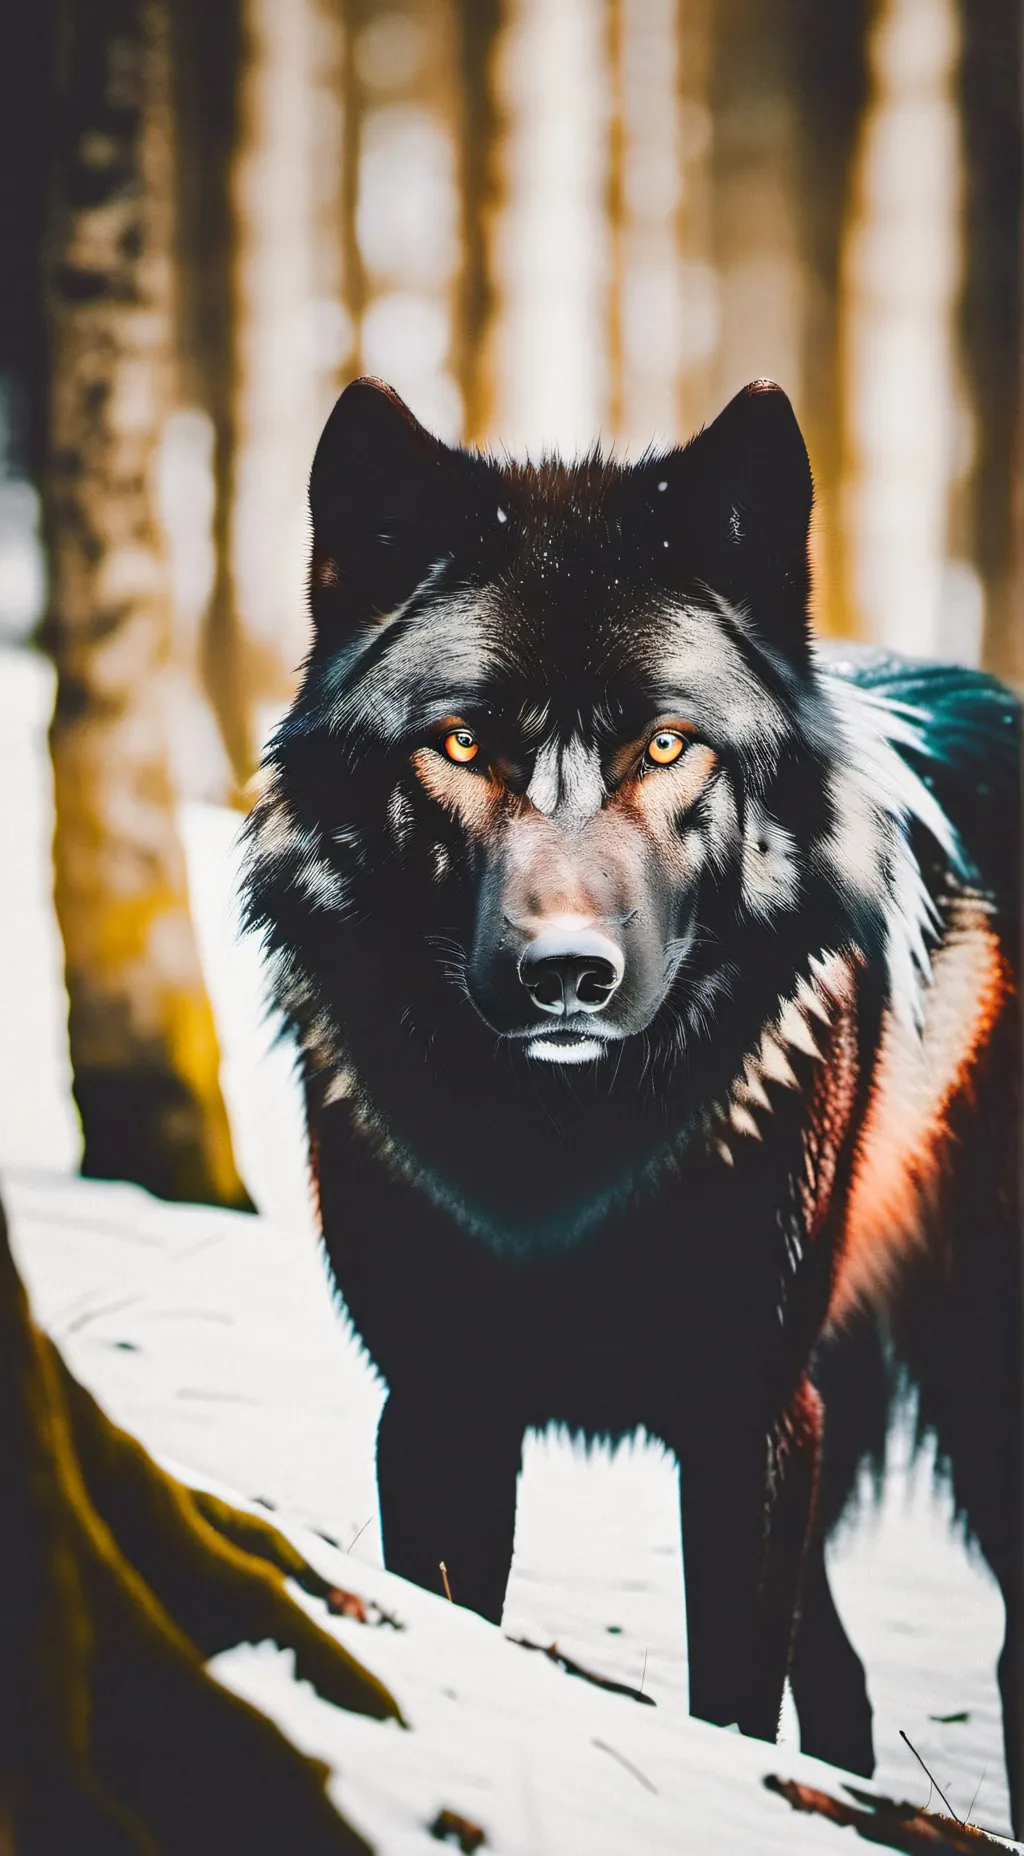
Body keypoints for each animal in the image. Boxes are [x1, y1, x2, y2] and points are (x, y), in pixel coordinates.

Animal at [244, 376, 1021, 1828]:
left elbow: (730, 1703)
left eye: (665, 744)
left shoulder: (740, 1420)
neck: (557, 1152)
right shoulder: (440, 1408)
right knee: (841, 1683)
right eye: (461, 741)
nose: (567, 973)